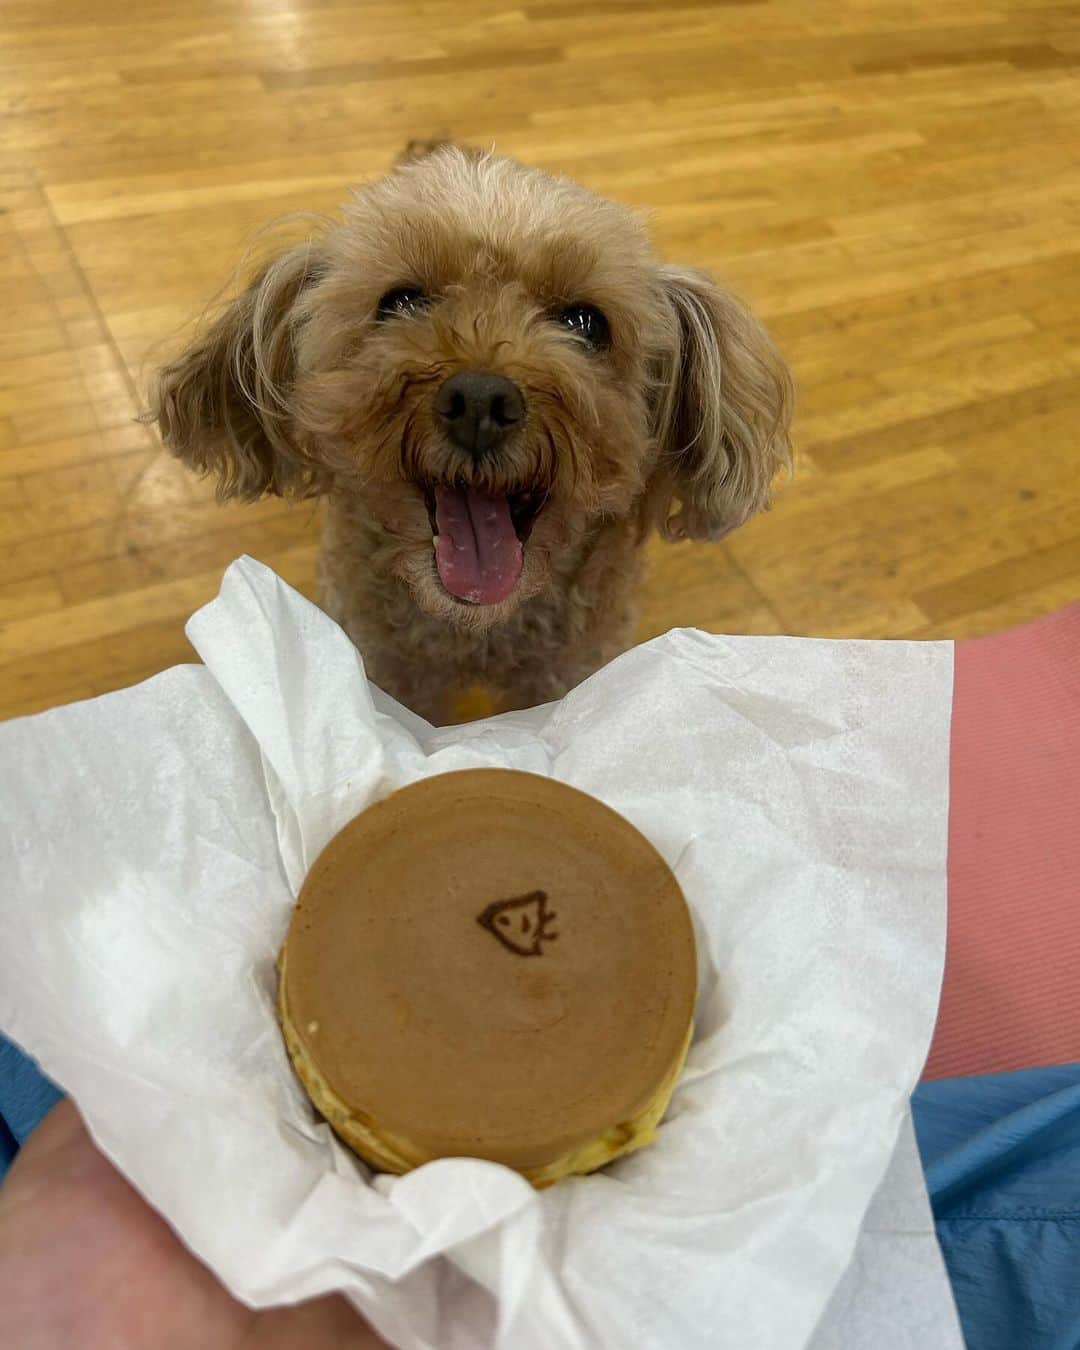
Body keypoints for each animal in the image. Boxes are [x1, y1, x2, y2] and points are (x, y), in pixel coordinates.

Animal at [149, 142, 793, 723]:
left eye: (586, 322)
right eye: (400, 302)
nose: (481, 400)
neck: (476, 628)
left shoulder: (562, 673)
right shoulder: (388, 670)